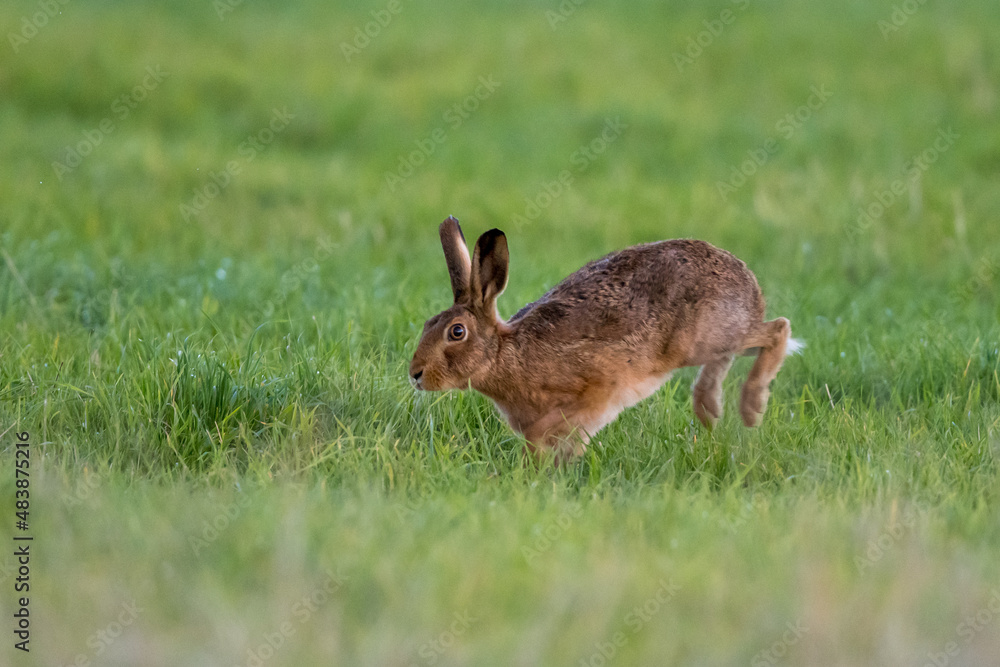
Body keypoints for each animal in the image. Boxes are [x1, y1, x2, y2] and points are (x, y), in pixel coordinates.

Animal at [409, 216, 802, 462]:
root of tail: (748, 282)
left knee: (778, 329)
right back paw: (709, 409)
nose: (415, 374)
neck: (505, 354)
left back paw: (750, 408)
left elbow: (547, 434)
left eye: (456, 332)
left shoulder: (594, 392)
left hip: (701, 338)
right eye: (427, 324)